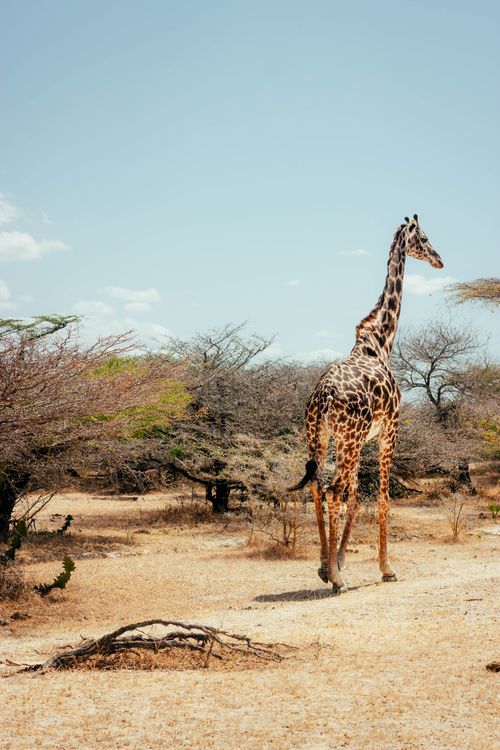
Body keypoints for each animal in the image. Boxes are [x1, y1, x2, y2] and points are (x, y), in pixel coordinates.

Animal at [289, 215, 443, 594]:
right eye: (424, 238)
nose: (439, 260)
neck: (381, 341)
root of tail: (323, 397)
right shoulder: (390, 430)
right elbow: (382, 498)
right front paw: (386, 568)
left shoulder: (362, 440)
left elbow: (357, 498)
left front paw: (338, 560)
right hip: (349, 438)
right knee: (333, 490)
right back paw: (337, 580)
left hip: (321, 436)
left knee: (318, 487)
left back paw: (325, 567)